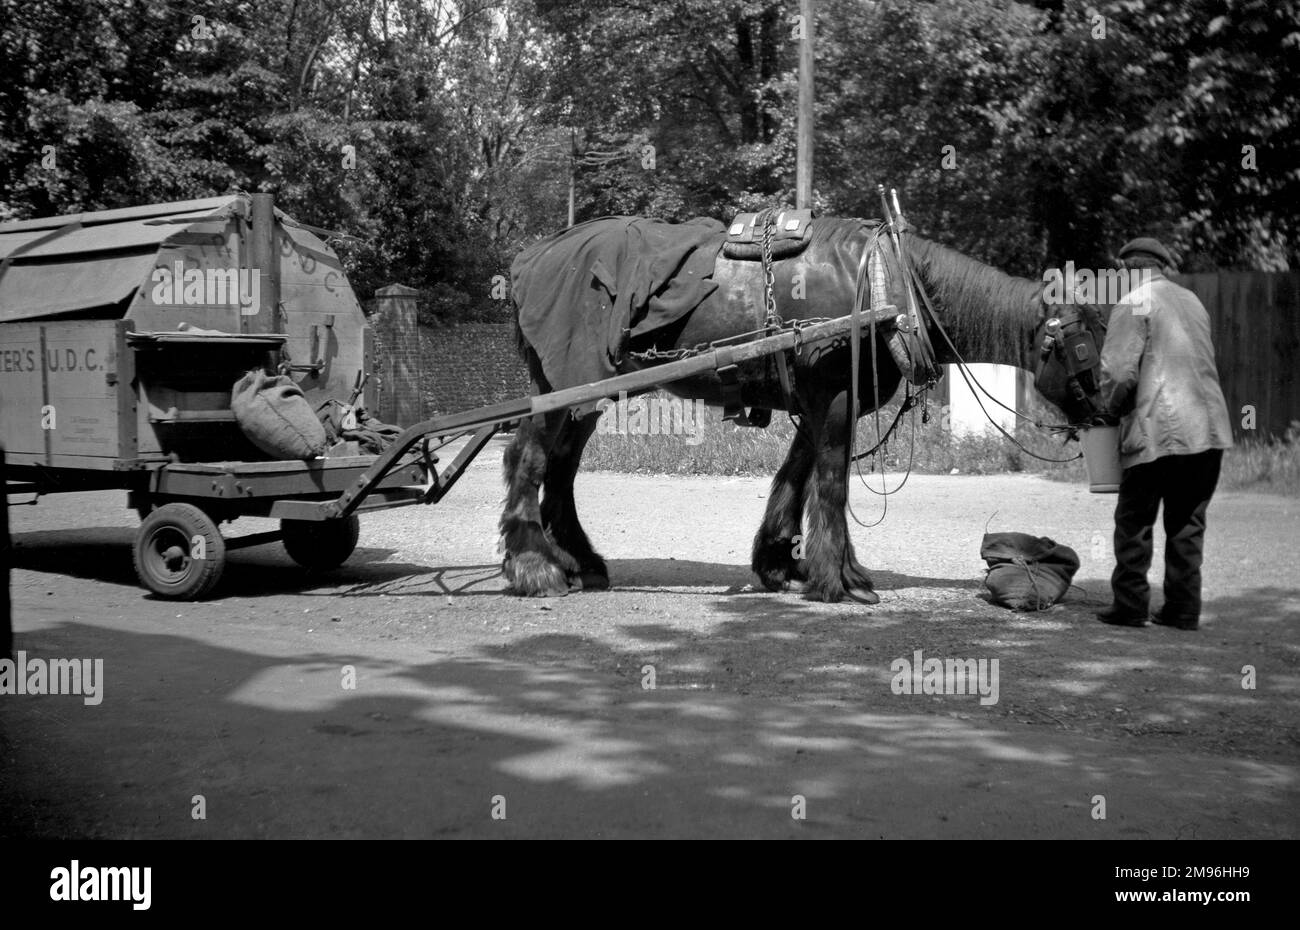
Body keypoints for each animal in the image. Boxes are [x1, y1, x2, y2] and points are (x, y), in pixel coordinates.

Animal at [496, 213, 1097, 603]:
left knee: (562, 468)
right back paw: (535, 567)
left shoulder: (818, 404)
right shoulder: (834, 397)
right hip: (568, 386)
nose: (1104, 410)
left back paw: (579, 562)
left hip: (587, 397)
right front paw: (839, 580)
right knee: (528, 458)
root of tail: (529, 258)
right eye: (1083, 346)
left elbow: (795, 475)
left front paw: (780, 562)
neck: (886, 285)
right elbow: (831, 483)